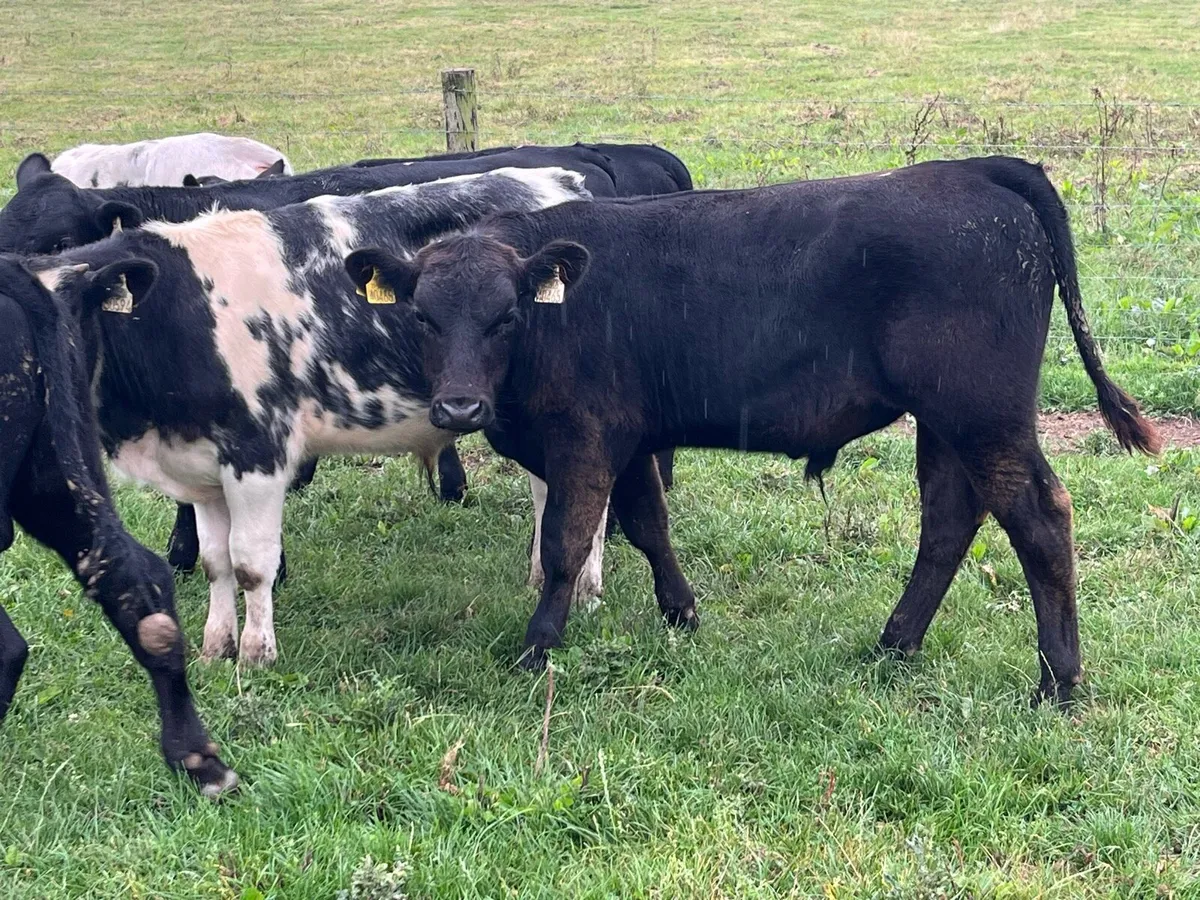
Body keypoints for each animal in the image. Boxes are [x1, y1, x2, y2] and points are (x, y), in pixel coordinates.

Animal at [29, 167, 594, 669]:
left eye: (71, 319)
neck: (181, 313)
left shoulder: (259, 455)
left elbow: (251, 564)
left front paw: (256, 655)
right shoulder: (203, 466)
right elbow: (216, 563)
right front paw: (216, 648)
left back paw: (585, 587)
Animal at [342, 156, 1161, 705]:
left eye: (506, 314)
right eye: (423, 316)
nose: (458, 410)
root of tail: (973, 168)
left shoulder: (584, 438)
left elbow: (566, 545)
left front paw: (538, 648)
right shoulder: (631, 437)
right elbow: (649, 523)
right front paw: (681, 612)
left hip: (982, 412)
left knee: (1039, 517)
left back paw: (1057, 681)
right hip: (946, 421)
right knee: (950, 519)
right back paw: (896, 644)